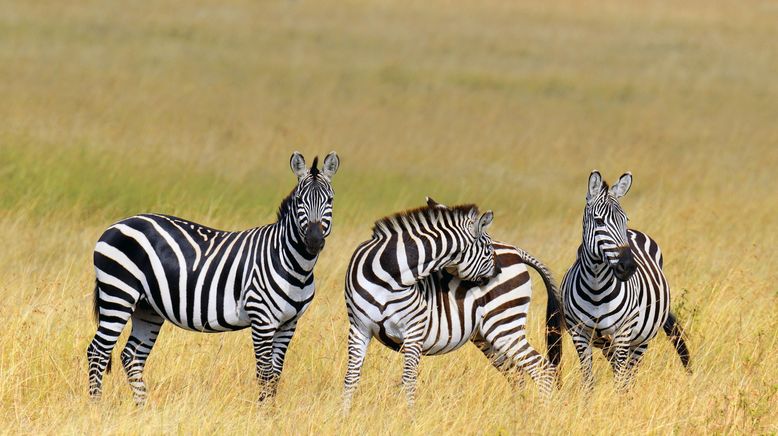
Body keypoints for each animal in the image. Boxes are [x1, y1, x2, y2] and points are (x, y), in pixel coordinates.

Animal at [86, 152, 338, 404]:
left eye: (330, 200)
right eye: (300, 201)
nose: (314, 241)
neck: (292, 264)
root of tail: (116, 225)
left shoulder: (289, 324)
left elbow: (275, 374)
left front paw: (271, 410)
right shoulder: (262, 320)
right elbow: (264, 373)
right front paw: (262, 411)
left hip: (147, 308)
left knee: (132, 356)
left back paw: (143, 408)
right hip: (118, 294)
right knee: (98, 351)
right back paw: (96, 405)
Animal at [340, 198, 556, 412]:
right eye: (487, 250)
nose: (498, 272)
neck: (389, 277)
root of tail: (515, 251)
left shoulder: (414, 330)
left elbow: (409, 380)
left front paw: (409, 416)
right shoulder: (359, 328)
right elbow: (351, 377)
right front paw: (344, 414)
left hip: (504, 325)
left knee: (541, 368)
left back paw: (541, 414)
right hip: (487, 336)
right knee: (517, 374)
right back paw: (518, 413)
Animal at [556, 170, 692, 392]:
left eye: (625, 219)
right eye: (599, 221)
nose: (628, 266)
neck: (596, 289)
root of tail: (634, 232)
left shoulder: (623, 332)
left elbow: (621, 381)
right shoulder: (579, 334)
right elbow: (588, 381)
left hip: (641, 339)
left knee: (630, 373)